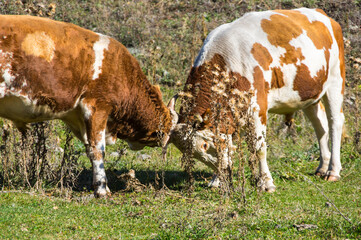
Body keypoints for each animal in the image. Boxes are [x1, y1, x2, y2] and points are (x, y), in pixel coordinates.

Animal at [170, 7, 344, 191]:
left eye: (204, 145)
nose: (223, 172)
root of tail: (322, 14)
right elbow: (228, 148)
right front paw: (217, 180)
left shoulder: (257, 108)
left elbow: (259, 148)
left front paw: (266, 182)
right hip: (309, 93)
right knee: (320, 125)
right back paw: (322, 167)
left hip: (335, 80)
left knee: (335, 123)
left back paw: (333, 171)